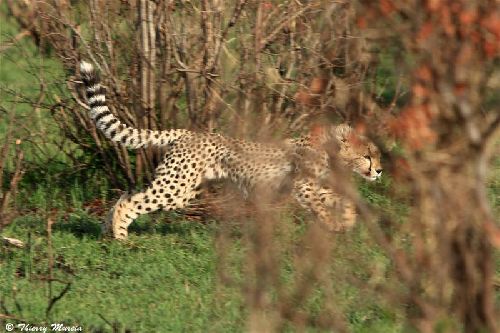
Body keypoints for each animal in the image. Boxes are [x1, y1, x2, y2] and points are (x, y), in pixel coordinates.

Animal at [80, 61, 382, 239]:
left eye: (376, 155)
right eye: (366, 156)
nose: (379, 171)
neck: (331, 152)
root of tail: (188, 132)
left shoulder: (318, 187)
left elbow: (343, 200)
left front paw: (347, 221)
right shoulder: (304, 187)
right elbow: (320, 206)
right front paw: (332, 225)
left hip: (183, 190)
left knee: (128, 194)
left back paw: (108, 229)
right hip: (175, 188)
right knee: (132, 200)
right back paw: (121, 238)